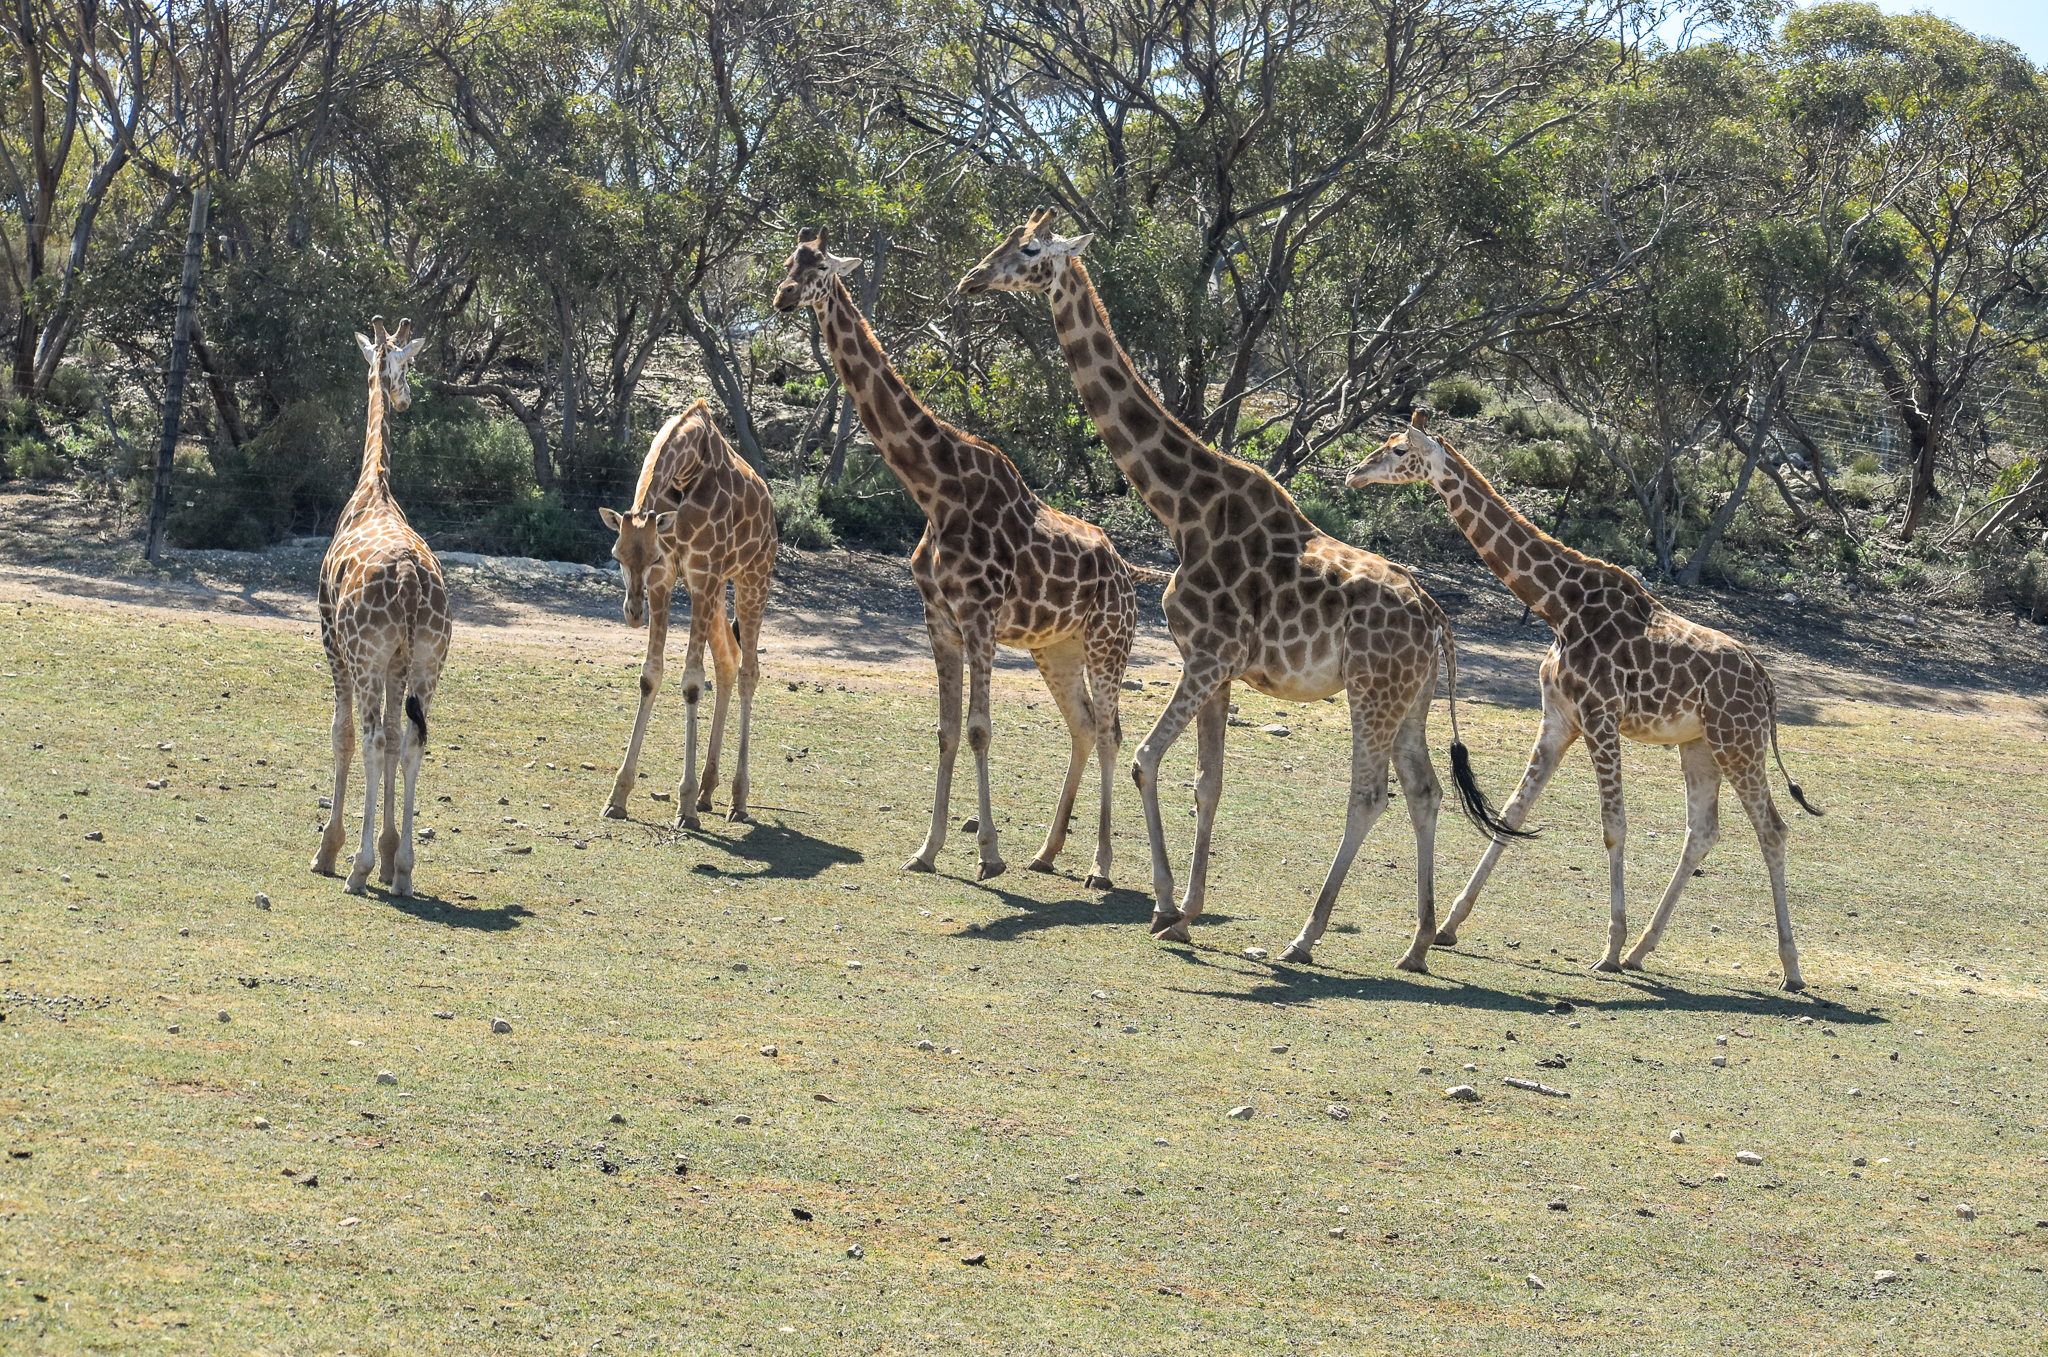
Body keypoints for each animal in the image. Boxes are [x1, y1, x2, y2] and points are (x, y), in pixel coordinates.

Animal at [599, 402, 777, 829]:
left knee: (749, 670)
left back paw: (736, 800)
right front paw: (618, 796)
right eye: (616, 556)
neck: (686, 470)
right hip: (715, 593)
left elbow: (693, 683)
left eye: (651, 556)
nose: (633, 613)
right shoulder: (669, 580)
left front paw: (685, 805)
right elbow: (650, 676)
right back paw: (708, 792)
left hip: (751, 577)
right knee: (728, 660)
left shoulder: (701, 572)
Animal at [773, 228, 1147, 886]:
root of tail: (1129, 577)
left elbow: (978, 730)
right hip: (1058, 646)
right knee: (1081, 725)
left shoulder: (979, 618)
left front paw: (989, 855)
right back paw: (1047, 853)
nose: (782, 297)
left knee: (1108, 730)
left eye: (818, 269)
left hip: (1110, 642)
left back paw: (1100, 867)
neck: (935, 489)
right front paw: (927, 849)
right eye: (789, 261)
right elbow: (947, 731)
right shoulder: (939, 620)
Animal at [959, 211, 1521, 967]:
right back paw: (1417, 944)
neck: (1185, 508)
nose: (972, 278)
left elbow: (1145, 760)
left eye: (1029, 249)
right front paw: (1187, 911)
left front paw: (1166, 906)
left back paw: (1304, 938)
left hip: (1372, 691)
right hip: (1413, 698)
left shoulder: (1207, 655)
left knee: (1369, 793)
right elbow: (1208, 781)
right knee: (1424, 790)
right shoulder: (1220, 669)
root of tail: (1438, 619)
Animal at [1346, 411, 1821, 990]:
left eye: (1397, 449)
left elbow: (1614, 828)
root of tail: (1767, 684)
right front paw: (1449, 928)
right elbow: (1513, 811)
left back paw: (1790, 970)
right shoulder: (1558, 720)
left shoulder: (1600, 717)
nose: (1353, 474)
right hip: (1700, 743)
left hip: (1740, 740)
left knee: (1772, 829)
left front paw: (1608, 950)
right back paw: (1643, 950)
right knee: (1702, 830)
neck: (1558, 604)